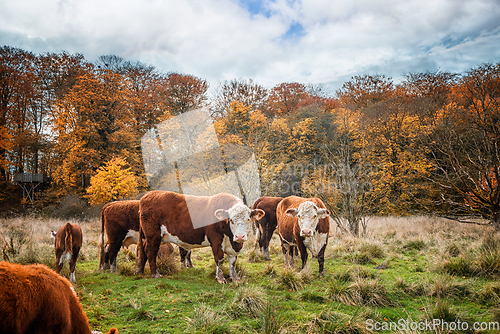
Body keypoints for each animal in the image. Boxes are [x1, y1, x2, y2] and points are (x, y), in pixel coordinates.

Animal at [135, 190, 264, 282]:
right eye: (231, 220)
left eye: (248, 219)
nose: (240, 237)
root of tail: (147, 195)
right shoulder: (216, 240)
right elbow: (219, 259)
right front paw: (220, 278)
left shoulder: (232, 246)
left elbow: (232, 261)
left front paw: (235, 278)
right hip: (153, 236)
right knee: (151, 252)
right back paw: (155, 274)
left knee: (143, 249)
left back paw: (140, 270)